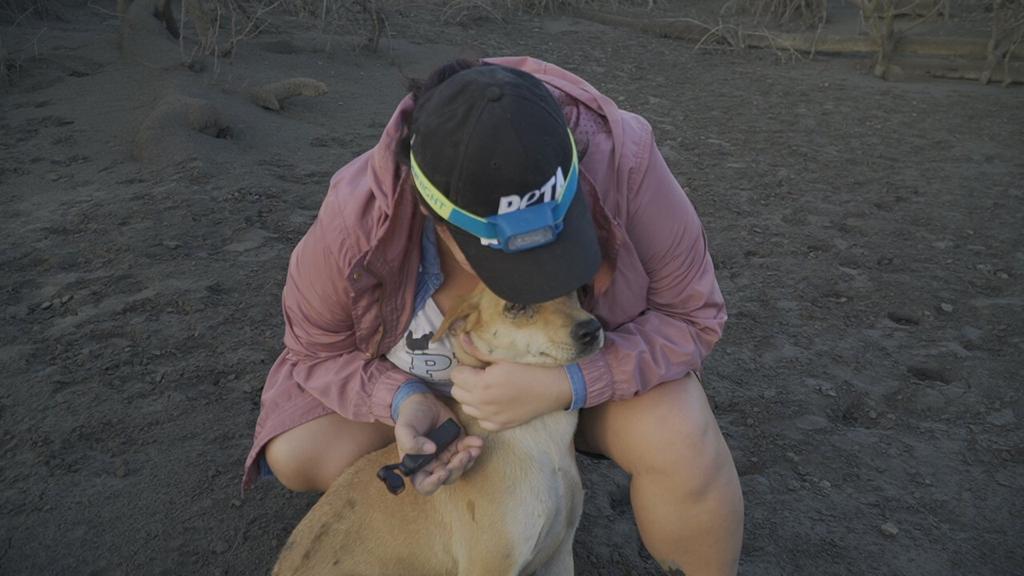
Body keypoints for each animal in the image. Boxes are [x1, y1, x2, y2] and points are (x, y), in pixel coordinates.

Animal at [276, 284, 602, 573]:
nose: (592, 329)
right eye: (516, 306)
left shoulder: (559, 554)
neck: (541, 438)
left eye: (575, 288)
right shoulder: (490, 565)